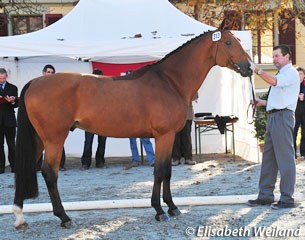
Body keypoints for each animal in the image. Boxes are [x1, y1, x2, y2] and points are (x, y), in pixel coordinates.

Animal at [13, 30, 251, 229]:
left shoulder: (168, 138)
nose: (249, 67)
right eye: (228, 42)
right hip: (54, 139)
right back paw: (64, 217)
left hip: (39, 139)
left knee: (25, 170)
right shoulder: (164, 136)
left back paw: (19, 217)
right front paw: (160, 210)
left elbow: (167, 171)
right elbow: (159, 171)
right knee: (49, 173)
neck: (170, 81)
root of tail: (34, 82)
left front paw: (172, 207)